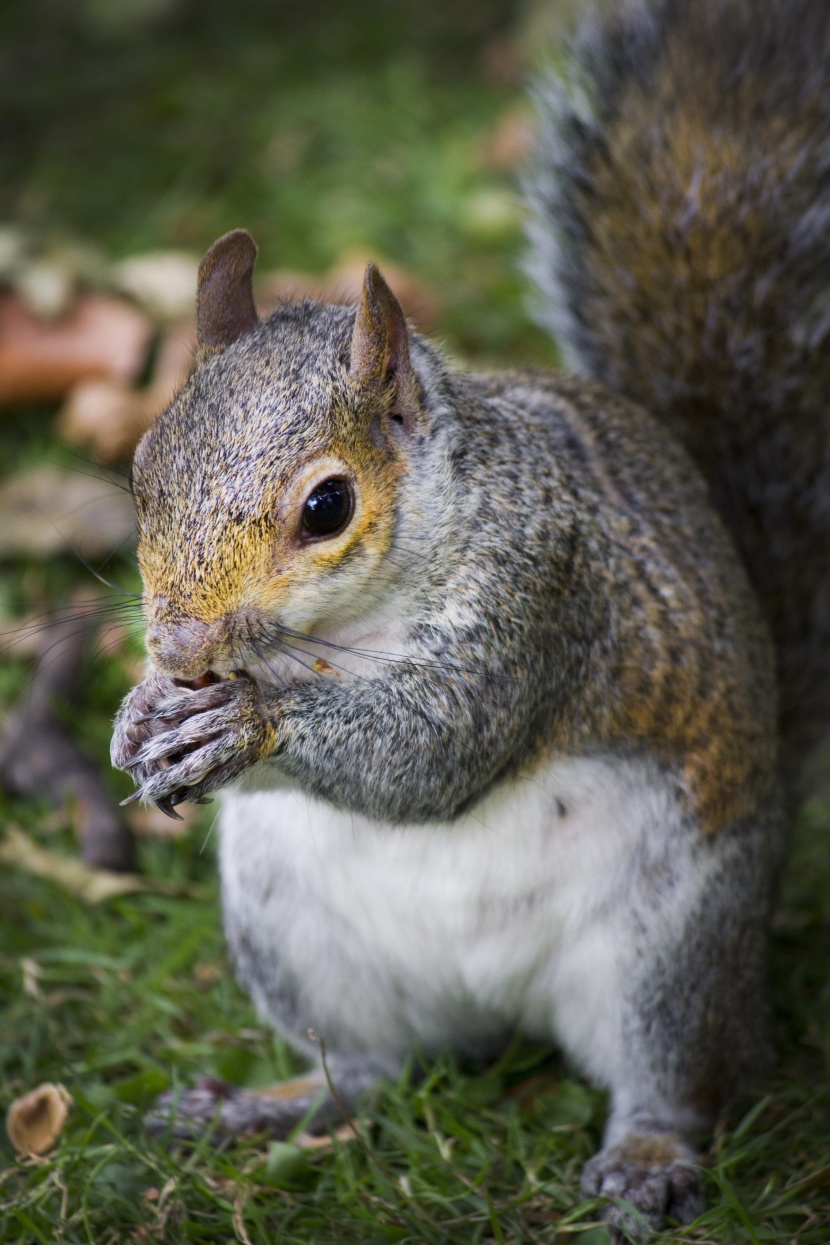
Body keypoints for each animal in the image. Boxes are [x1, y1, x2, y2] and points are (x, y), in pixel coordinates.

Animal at [111, 2, 830, 1235]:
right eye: (144, 469)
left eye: (326, 507)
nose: (184, 647)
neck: (342, 635)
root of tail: (499, 1001)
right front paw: (142, 712)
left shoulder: (542, 590)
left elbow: (439, 750)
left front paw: (245, 724)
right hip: (291, 928)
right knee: (365, 1067)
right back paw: (255, 1106)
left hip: (672, 952)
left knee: (676, 1080)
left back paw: (646, 1159)